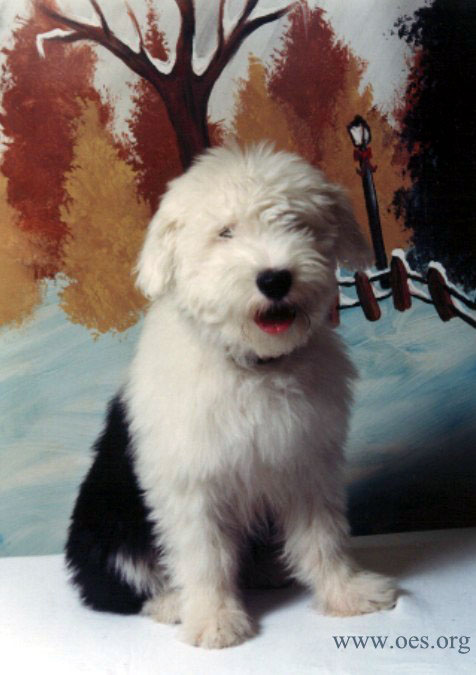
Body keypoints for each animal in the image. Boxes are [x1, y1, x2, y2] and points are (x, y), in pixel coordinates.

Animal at [65, 143, 396, 648]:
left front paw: (346, 592)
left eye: (295, 223)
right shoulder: (191, 482)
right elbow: (204, 556)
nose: (274, 279)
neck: (252, 367)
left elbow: (323, 536)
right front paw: (215, 621)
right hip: (109, 527)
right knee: (115, 589)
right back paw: (172, 605)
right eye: (225, 233)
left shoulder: (305, 460)